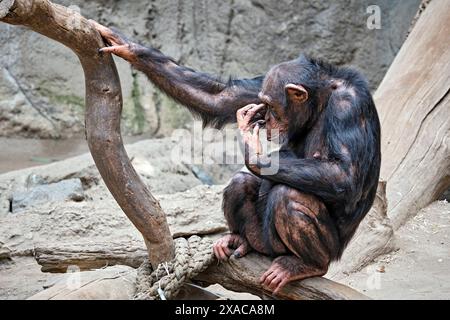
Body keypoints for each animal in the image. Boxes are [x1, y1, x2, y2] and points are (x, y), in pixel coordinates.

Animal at [93, 21, 382, 294]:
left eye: (273, 106)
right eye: (264, 104)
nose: (266, 118)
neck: (320, 101)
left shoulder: (348, 107)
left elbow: (343, 173)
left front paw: (253, 149)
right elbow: (220, 97)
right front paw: (125, 45)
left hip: (315, 250)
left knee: (290, 196)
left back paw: (306, 264)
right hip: (263, 241)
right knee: (240, 183)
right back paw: (239, 240)